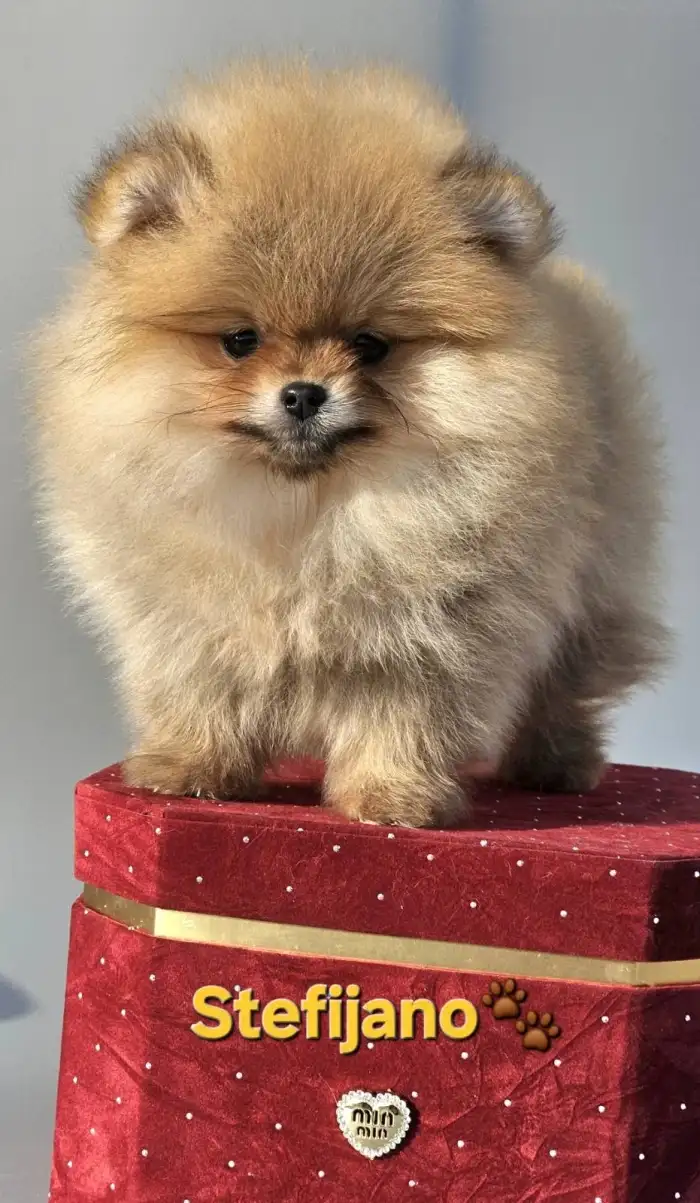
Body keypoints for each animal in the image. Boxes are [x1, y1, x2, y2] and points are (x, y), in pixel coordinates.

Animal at [31, 61, 668, 826]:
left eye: (370, 345)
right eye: (240, 339)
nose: (304, 393)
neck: (306, 518)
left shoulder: (434, 635)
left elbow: (403, 716)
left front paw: (392, 796)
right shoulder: (187, 625)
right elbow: (203, 693)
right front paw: (190, 768)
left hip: (594, 587)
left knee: (568, 682)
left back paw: (554, 763)